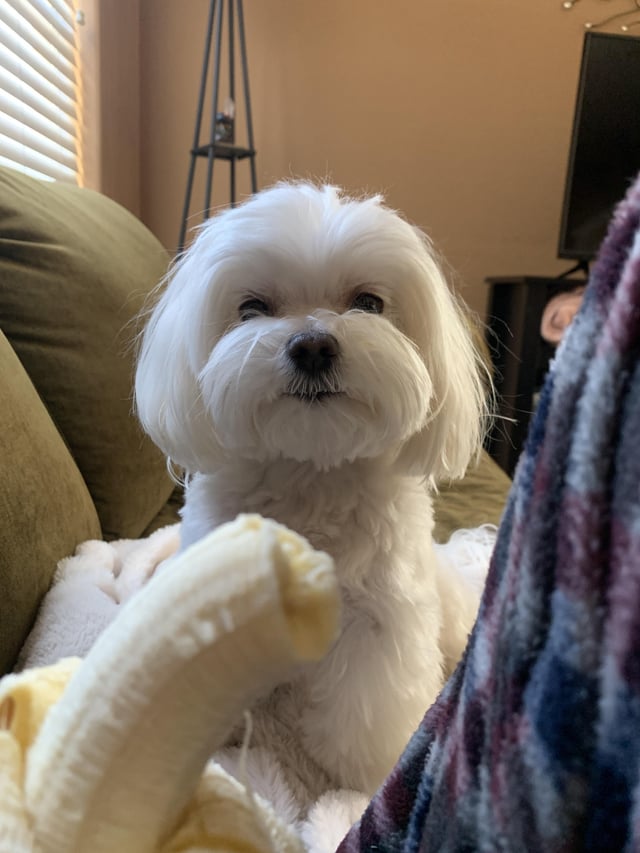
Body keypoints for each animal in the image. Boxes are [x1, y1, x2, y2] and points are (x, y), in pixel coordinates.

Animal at [135, 183, 492, 816]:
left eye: (369, 303)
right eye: (252, 307)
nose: (312, 345)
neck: (309, 471)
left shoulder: (378, 623)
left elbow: (367, 712)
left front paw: (363, 778)